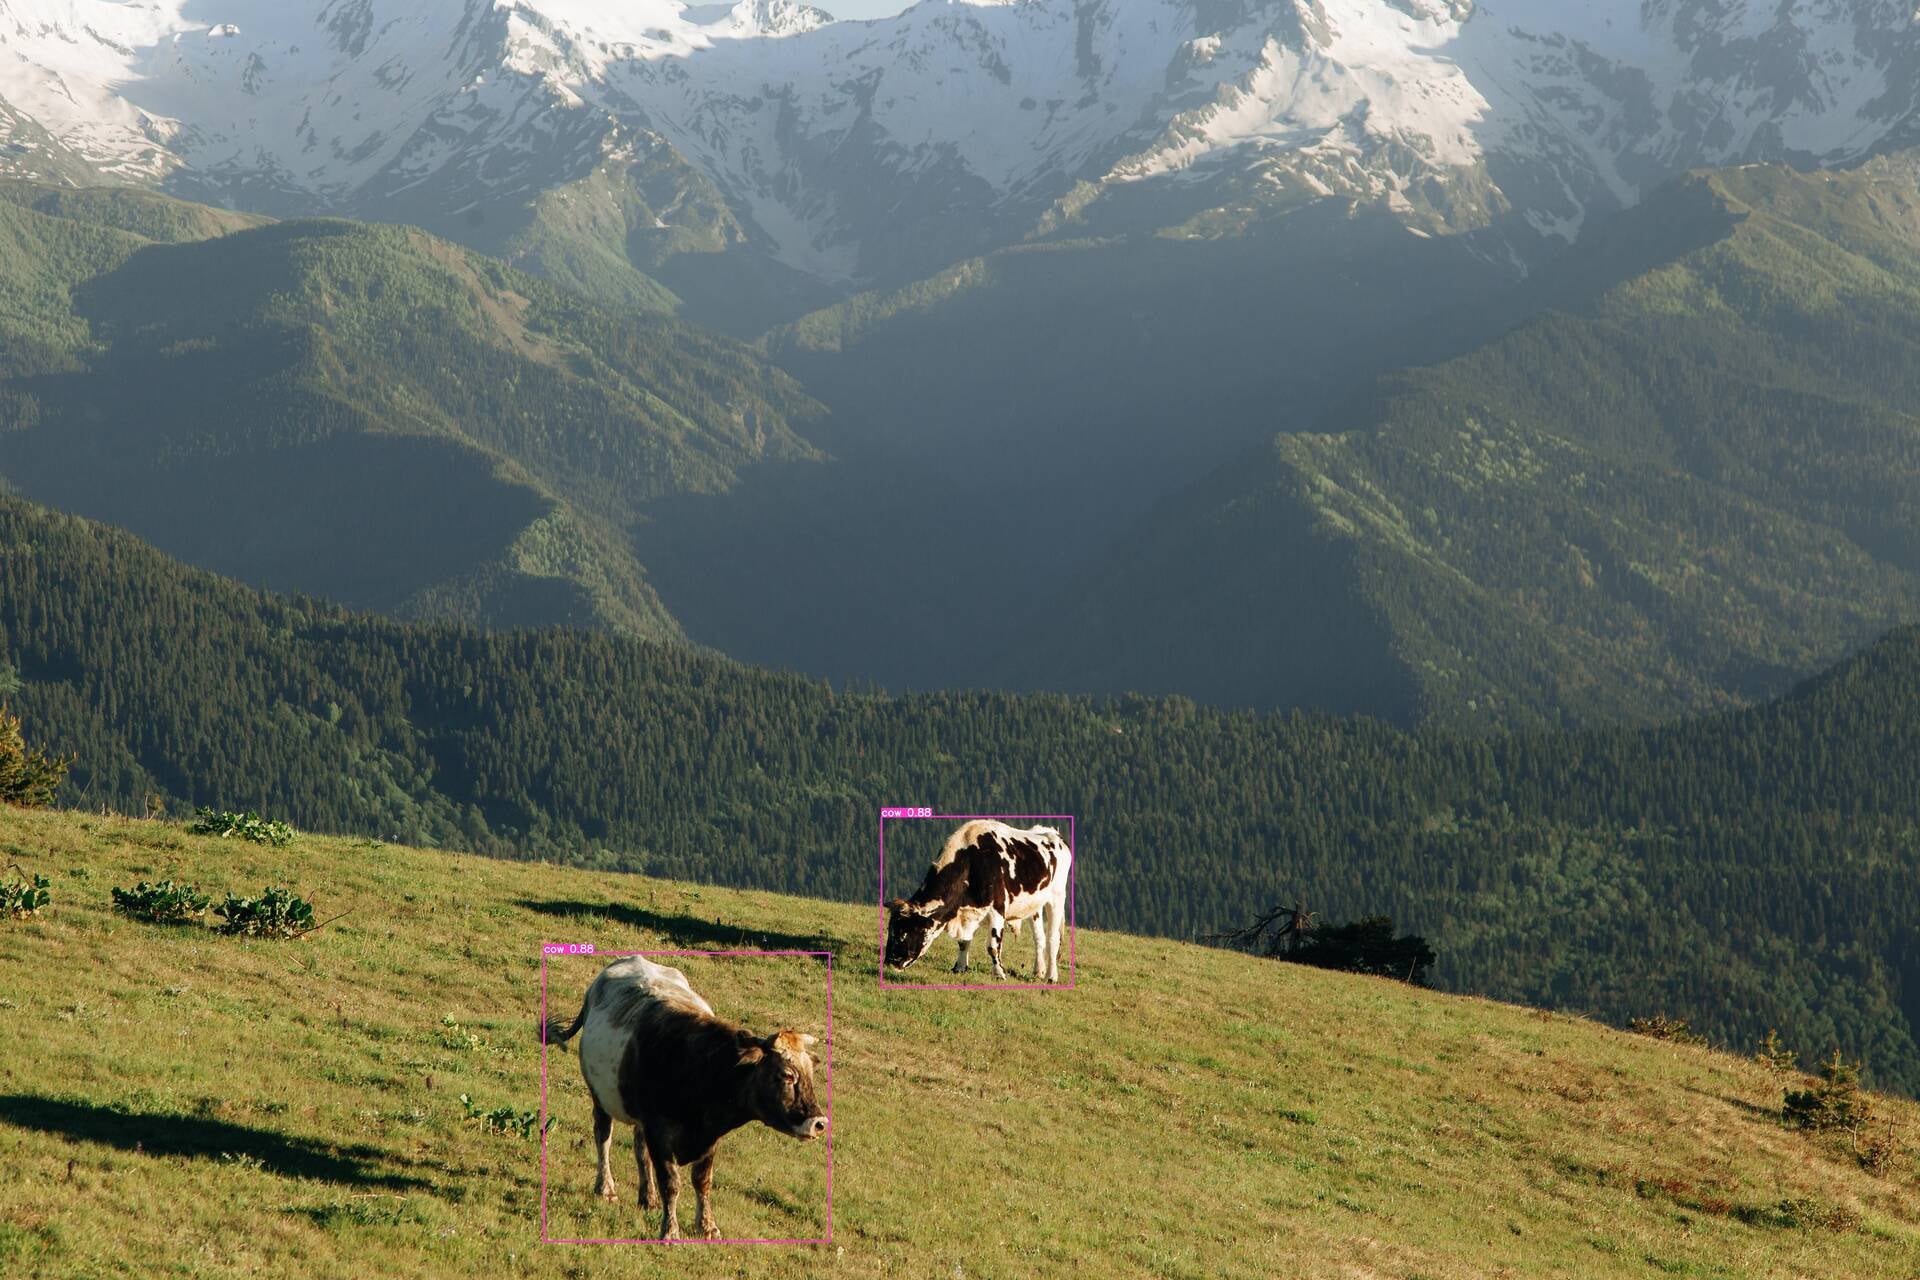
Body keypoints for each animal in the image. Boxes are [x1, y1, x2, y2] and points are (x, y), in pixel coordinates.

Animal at [539, 956, 828, 1241]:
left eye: (811, 1074)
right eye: (786, 1075)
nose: (819, 1123)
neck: (700, 1067)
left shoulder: (709, 1136)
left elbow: (702, 1180)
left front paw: (707, 1226)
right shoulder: (658, 1130)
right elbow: (671, 1182)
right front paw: (670, 1230)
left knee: (639, 1149)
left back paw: (648, 1197)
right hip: (600, 1097)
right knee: (603, 1136)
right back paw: (606, 1188)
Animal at [884, 819, 1071, 981]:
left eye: (908, 930)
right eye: (891, 928)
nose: (890, 961)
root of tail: (1052, 832)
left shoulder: (997, 908)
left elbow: (993, 946)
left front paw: (999, 973)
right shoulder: (968, 913)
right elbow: (963, 942)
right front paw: (959, 968)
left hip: (1057, 898)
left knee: (1052, 938)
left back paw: (1051, 977)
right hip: (1034, 905)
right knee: (1039, 937)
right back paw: (1038, 971)